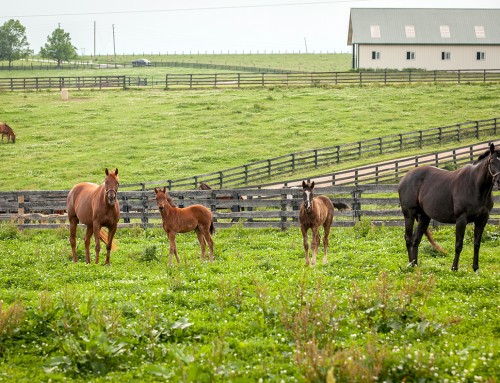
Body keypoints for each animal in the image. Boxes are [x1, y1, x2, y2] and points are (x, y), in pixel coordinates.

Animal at [398, 142, 500, 272]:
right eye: (492, 161)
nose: (499, 181)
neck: (475, 186)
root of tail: (404, 178)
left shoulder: (482, 219)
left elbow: (477, 243)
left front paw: (475, 268)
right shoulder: (461, 219)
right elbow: (458, 245)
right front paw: (454, 268)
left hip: (424, 217)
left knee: (416, 240)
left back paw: (415, 265)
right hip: (409, 215)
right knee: (408, 239)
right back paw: (410, 265)